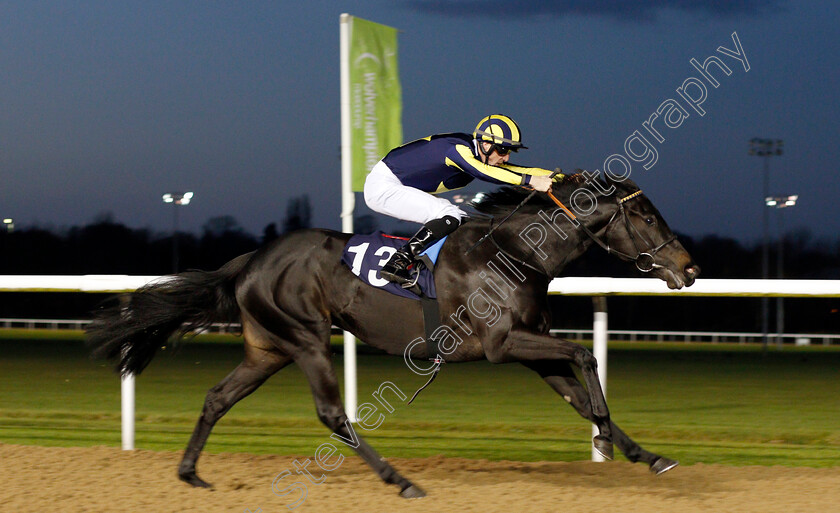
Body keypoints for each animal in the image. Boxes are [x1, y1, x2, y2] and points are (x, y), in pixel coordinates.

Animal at [87, 175, 704, 496]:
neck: (518, 253)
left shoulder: (529, 347)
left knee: (218, 397)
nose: (690, 268)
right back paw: (399, 479)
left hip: (269, 349)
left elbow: (577, 388)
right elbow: (584, 355)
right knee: (333, 414)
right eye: (647, 216)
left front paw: (643, 453)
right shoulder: (502, 345)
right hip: (306, 338)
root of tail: (252, 260)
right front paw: (605, 436)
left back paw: (190, 472)